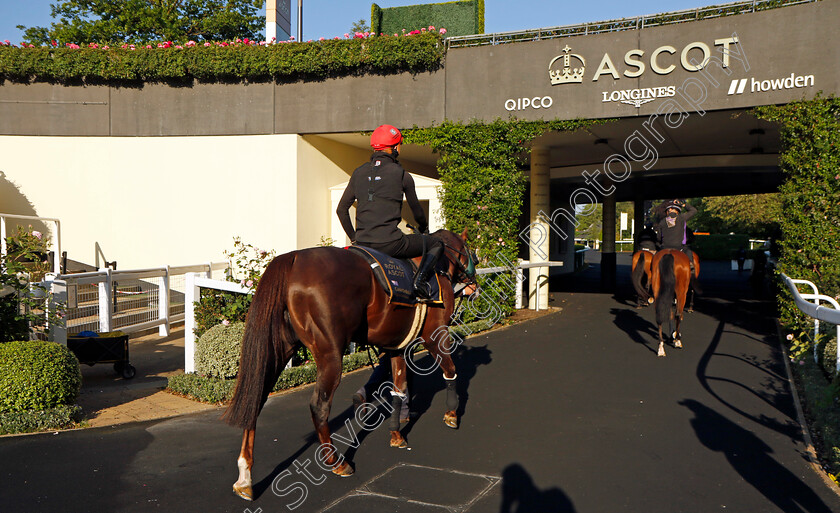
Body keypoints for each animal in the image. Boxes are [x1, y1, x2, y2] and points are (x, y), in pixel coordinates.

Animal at [221, 229, 480, 500]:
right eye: (471, 251)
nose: (474, 285)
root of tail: (295, 259)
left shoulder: (397, 346)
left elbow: (398, 388)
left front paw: (396, 433)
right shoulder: (434, 335)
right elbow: (450, 370)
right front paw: (452, 414)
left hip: (280, 348)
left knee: (256, 399)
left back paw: (245, 477)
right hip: (331, 355)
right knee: (318, 407)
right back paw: (336, 462)